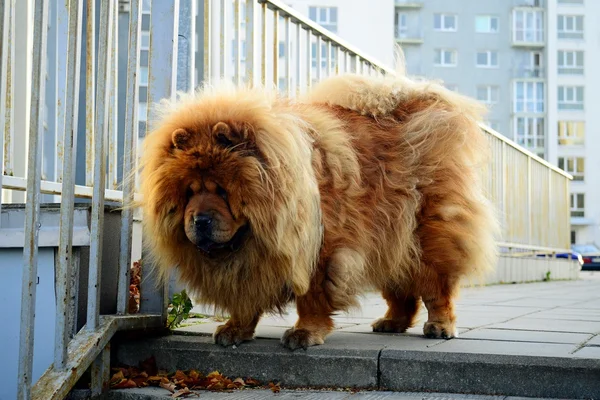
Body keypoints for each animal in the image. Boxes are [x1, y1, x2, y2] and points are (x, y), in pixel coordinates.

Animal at [138, 72, 500, 350]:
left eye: (223, 192)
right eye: (189, 192)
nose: (199, 220)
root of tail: (417, 106)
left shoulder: (321, 251)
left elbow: (311, 297)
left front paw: (304, 334)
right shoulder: (256, 262)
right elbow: (247, 294)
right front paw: (236, 329)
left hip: (424, 236)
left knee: (436, 287)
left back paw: (440, 326)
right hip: (388, 241)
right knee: (402, 290)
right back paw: (391, 322)